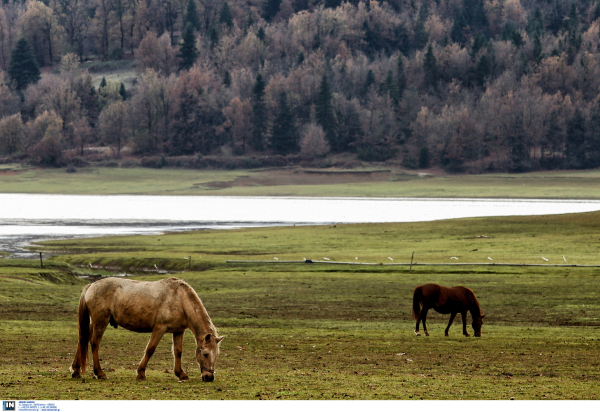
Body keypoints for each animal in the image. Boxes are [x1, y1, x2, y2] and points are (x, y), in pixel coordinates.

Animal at [68, 278, 223, 382]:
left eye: (216, 354)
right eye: (205, 354)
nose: (209, 377)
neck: (180, 299)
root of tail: (91, 286)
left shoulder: (178, 331)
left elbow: (178, 352)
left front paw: (181, 373)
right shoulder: (159, 328)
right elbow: (150, 349)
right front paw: (141, 373)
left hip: (95, 322)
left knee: (83, 339)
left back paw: (76, 370)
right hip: (101, 321)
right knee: (94, 343)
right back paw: (99, 373)